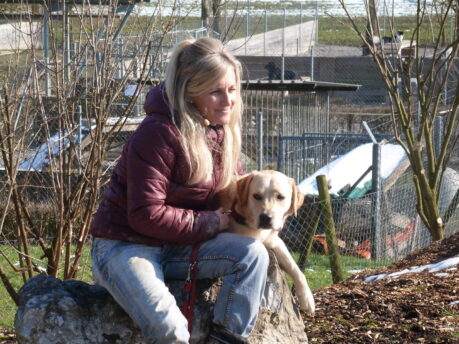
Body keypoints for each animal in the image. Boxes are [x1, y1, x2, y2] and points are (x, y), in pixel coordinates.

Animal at [219, 169, 316, 314]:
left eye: (280, 197)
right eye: (256, 196)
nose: (266, 217)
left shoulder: (274, 241)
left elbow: (296, 269)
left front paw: (307, 299)